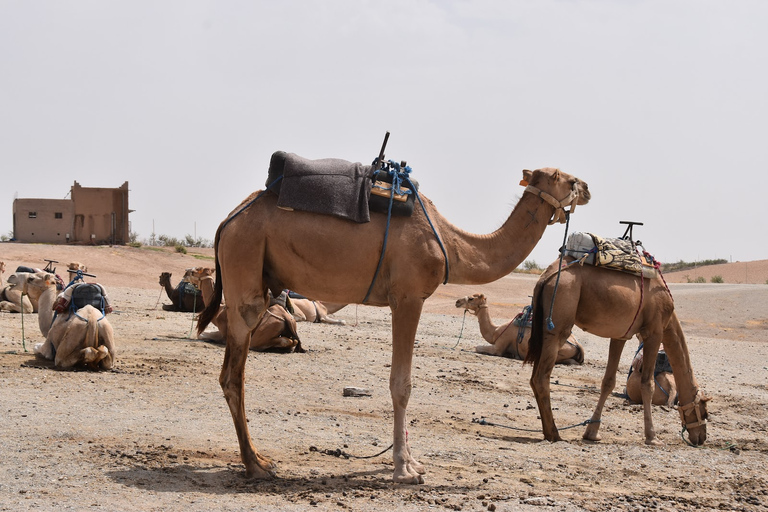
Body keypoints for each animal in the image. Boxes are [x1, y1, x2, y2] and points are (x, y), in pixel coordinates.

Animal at [452, 292, 584, 364]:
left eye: (471, 298)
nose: (457, 301)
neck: (495, 332)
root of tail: (577, 345)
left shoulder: (500, 346)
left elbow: (478, 347)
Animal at [524, 258, 712, 446]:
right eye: (704, 411)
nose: (701, 437)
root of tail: (545, 278)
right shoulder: (654, 332)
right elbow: (648, 384)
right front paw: (652, 437)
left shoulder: (620, 336)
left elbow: (608, 382)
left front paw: (592, 433)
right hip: (559, 319)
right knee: (541, 377)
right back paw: (554, 433)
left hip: (543, 327)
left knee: (534, 378)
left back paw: (548, 431)